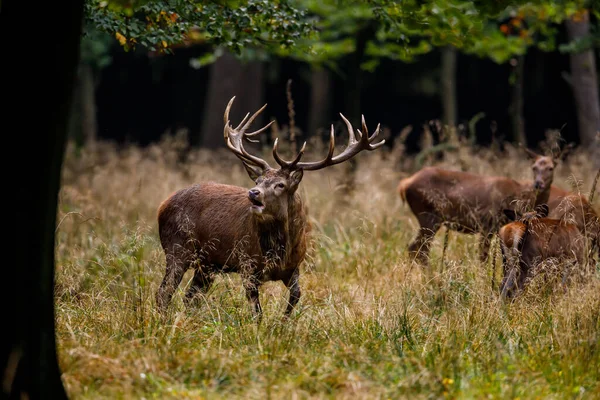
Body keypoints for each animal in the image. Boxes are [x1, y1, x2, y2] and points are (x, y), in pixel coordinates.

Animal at [155, 96, 384, 318]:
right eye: (258, 181)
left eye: (280, 184)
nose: (253, 193)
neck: (279, 252)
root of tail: (162, 205)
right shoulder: (246, 264)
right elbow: (257, 312)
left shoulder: (294, 268)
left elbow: (295, 298)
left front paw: (282, 324)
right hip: (178, 247)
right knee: (164, 293)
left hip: (207, 264)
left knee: (189, 297)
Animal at [398, 148, 556, 264]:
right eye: (534, 167)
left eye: (551, 168)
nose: (538, 184)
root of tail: (405, 184)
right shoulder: (487, 224)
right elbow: (483, 257)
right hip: (429, 216)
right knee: (419, 250)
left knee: (416, 249)